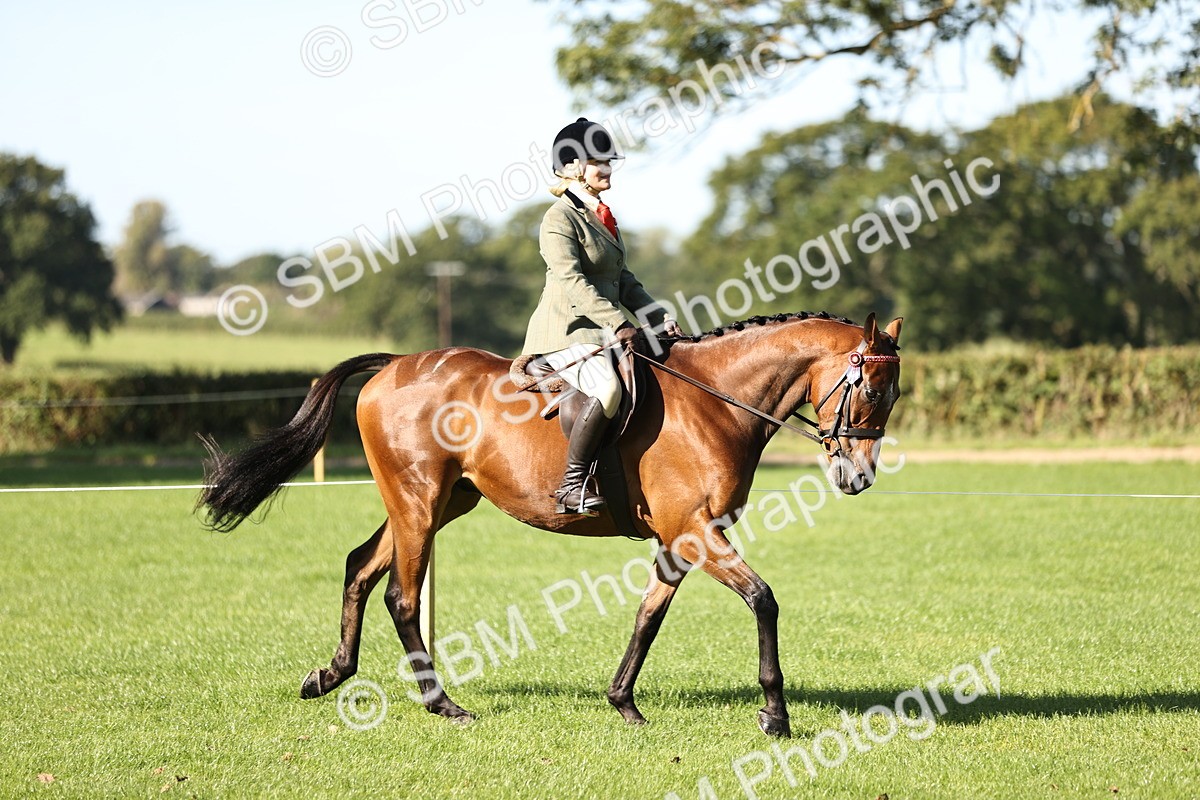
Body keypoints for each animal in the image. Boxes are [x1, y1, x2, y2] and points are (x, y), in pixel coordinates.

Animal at [198, 310, 904, 737]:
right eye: (871, 391)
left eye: (893, 395)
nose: (859, 477)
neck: (714, 403)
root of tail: (397, 362)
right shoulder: (696, 531)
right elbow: (764, 600)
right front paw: (775, 716)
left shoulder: (679, 540)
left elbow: (648, 617)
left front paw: (623, 703)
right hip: (419, 502)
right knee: (401, 594)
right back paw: (442, 704)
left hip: (443, 501)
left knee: (359, 567)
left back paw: (331, 675)